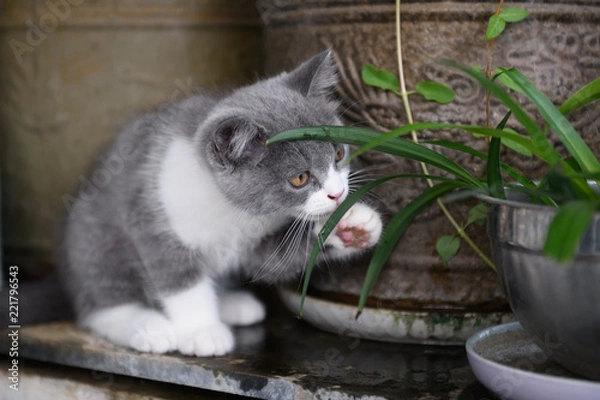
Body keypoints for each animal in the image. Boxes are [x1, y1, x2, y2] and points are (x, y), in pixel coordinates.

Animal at [58, 50, 382, 356]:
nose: (338, 193)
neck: (234, 211)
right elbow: (181, 281)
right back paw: (149, 328)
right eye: (300, 178)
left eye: (338, 153)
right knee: (101, 302)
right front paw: (202, 332)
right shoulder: (152, 218)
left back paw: (231, 304)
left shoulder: (256, 246)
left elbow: (274, 261)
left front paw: (352, 227)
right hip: (97, 244)